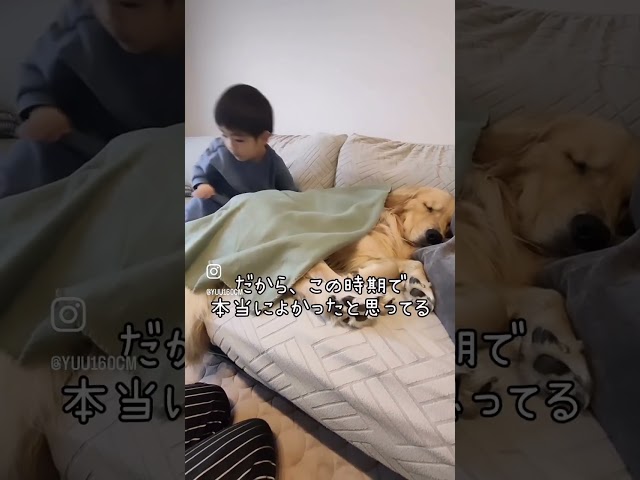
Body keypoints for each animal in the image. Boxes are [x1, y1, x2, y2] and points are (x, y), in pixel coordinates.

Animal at [185, 186, 455, 381]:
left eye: (449, 226)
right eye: (429, 207)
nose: (435, 236)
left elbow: (412, 263)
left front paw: (419, 287)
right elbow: (388, 264)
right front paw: (368, 278)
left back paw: (350, 303)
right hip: (296, 240)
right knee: (314, 274)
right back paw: (354, 300)